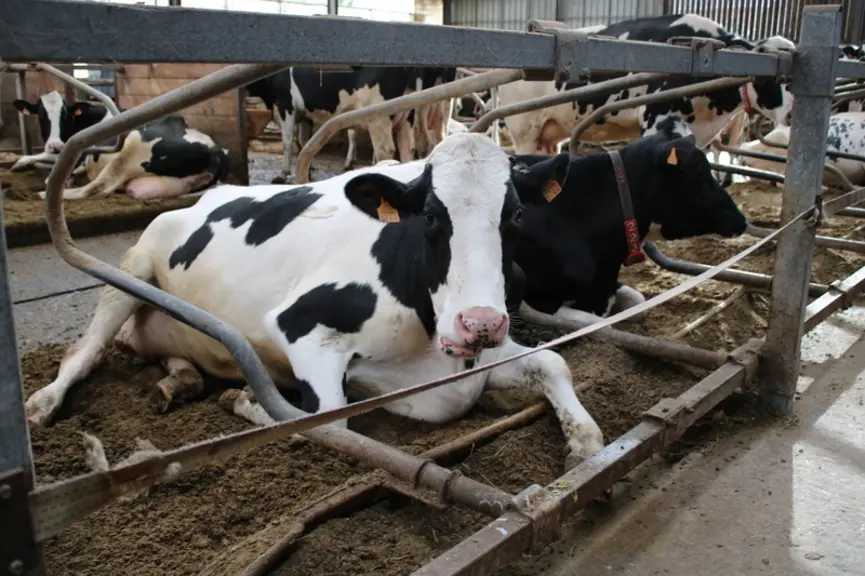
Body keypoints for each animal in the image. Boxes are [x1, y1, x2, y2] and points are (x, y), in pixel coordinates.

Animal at [24, 132, 605, 470]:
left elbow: (554, 364)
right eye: (430, 216)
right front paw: (248, 401)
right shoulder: (298, 326)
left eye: (516, 215)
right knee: (84, 352)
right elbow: (327, 417)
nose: (477, 323)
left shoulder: (480, 352)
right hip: (131, 266)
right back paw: (42, 404)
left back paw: (178, 380)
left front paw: (583, 442)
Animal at [245, 66, 456, 183]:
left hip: (380, 116)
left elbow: (288, 141)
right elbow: (304, 142)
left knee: (386, 151)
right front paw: (309, 171)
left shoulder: (284, 105)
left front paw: (282, 174)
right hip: (409, 115)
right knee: (409, 148)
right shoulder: (305, 114)